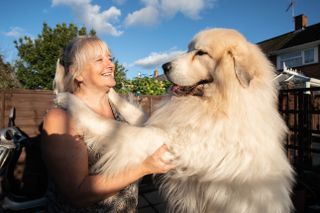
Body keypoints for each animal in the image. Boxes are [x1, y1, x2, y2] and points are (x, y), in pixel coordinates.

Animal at [57, 28, 296, 213]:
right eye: (189, 49)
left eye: (201, 53)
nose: (164, 66)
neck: (220, 105)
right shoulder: (163, 124)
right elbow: (135, 114)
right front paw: (111, 92)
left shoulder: (160, 139)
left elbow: (110, 126)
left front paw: (69, 100)